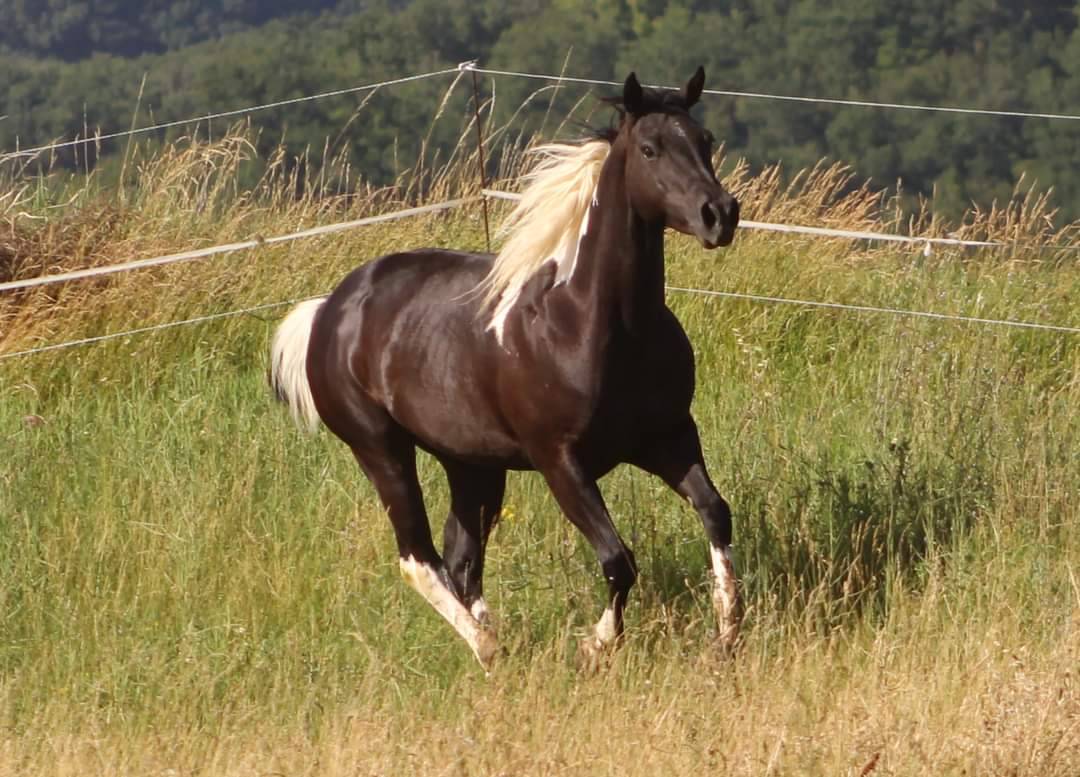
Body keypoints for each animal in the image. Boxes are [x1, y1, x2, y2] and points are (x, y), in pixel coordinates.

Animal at [270, 67, 741, 669]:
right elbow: (618, 559)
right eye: (650, 148)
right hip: (380, 451)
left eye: (706, 141)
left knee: (460, 555)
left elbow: (715, 512)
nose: (720, 214)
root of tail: (328, 309)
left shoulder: (669, 437)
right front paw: (595, 644)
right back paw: (490, 647)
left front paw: (727, 632)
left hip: (470, 464)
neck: (594, 325)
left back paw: (490, 638)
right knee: (418, 556)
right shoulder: (560, 461)